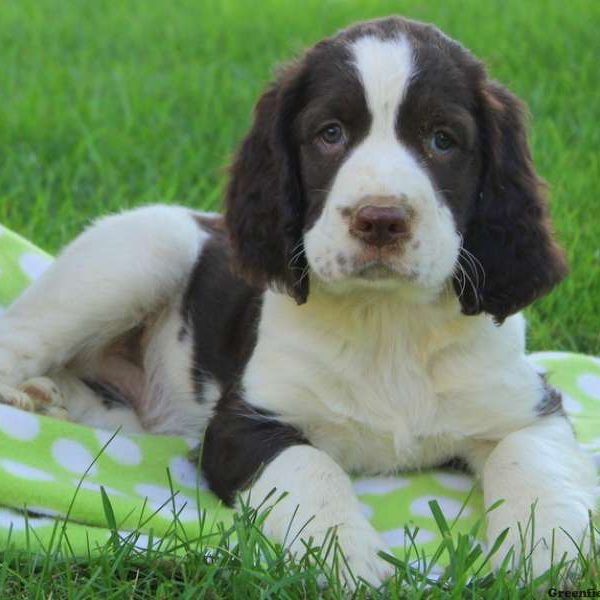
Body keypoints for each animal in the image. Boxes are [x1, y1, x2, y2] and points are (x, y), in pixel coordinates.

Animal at [0, 16, 596, 588]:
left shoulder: (528, 407)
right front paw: (345, 556)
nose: (381, 219)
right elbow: (309, 467)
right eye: (330, 134)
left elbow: (533, 461)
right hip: (143, 248)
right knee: (19, 337)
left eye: (443, 140)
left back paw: (49, 400)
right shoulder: (243, 423)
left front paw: (546, 552)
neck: (387, 321)